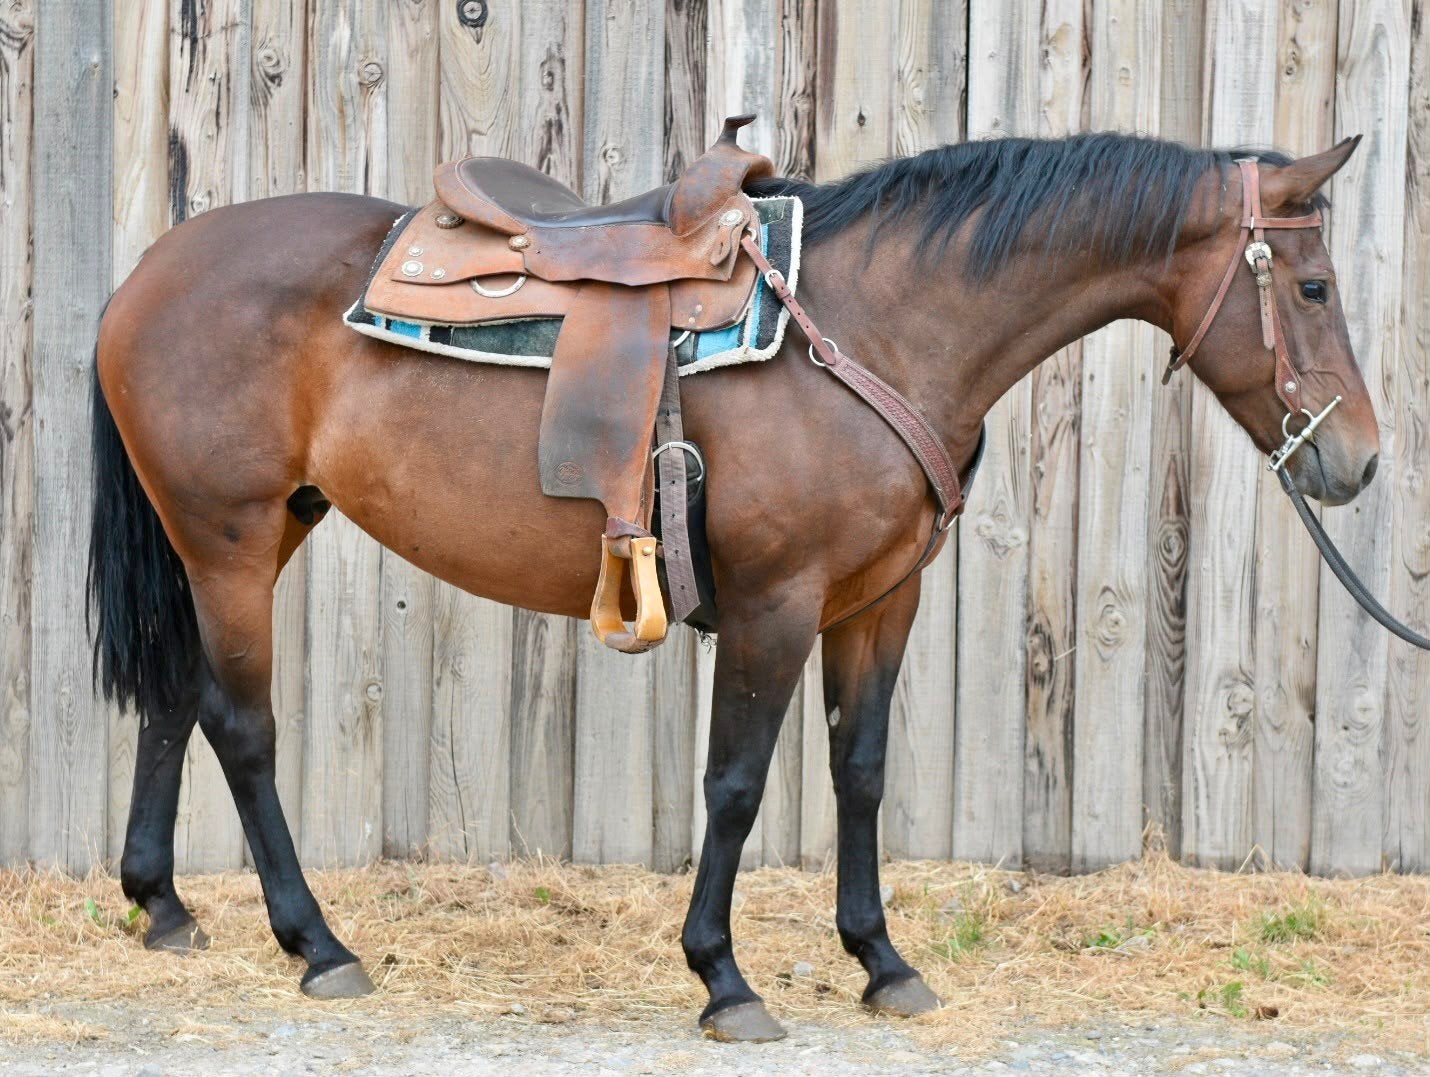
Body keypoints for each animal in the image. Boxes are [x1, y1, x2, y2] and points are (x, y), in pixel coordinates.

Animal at [88, 131, 1375, 1042]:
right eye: (1311, 288)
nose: (1355, 460)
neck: (871, 327)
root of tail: (150, 269)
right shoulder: (775, 605)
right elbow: (737, 784)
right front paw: (722, 977)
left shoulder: (878, 603)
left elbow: (859, 772)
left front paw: (881, 961)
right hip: (229, 537)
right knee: (240, 726)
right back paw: (316, 944)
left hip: (248, 534)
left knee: (173, 697)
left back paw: (163, 907)